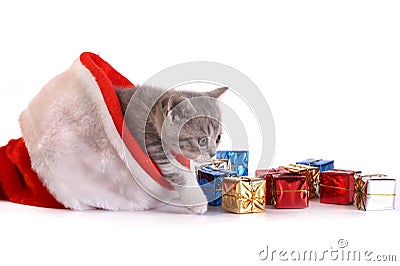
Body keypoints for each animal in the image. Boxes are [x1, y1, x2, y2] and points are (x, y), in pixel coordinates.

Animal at [115, 85, 228, 214]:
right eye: (202, 140)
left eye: (218, 138)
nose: (213, 154)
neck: (153, 113)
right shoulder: (149, 139)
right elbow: (177, 170)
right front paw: (196, 199)